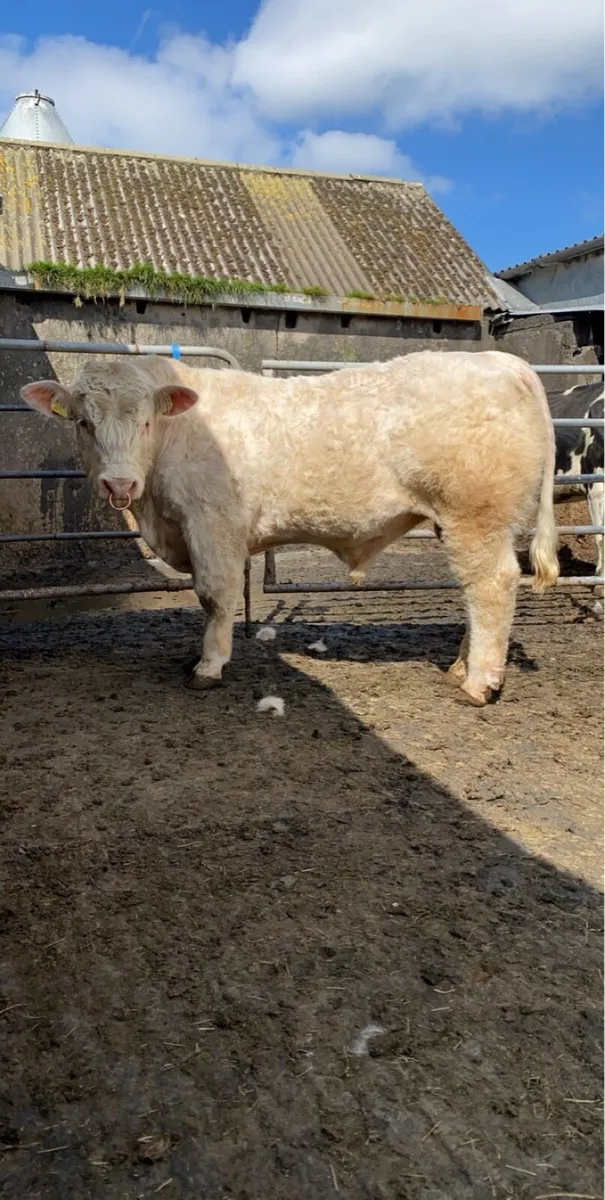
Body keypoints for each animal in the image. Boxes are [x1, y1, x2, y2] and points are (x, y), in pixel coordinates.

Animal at [20, 350, 559, 707]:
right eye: (84, 423)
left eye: (146, 422)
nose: (119, 482)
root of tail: (500, 359)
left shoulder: (212, 523)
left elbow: (215, 595)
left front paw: (209, 666)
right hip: (469, 522)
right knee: (476, 589)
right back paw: (461, 667)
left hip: (477, 513)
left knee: (491, 586)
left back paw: (479, 683)